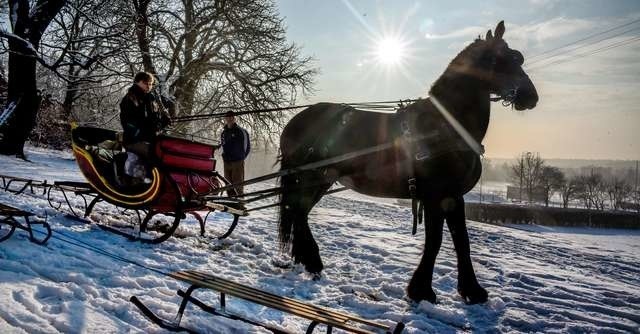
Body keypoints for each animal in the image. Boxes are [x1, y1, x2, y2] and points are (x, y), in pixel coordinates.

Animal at [278, 19, 536, 304]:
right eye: (500, 59)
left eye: (518, 58)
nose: (531, 96)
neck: (446, 124)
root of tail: (296, 121)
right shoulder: (436, 195)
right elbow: (435, 241)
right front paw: (421, 290)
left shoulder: (453, 196)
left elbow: (462, 241)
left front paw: (472, 290)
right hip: (313, 177)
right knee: (298, 212)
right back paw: (312, 261)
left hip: (318, 179)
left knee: (299, 213)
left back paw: (306, 259)